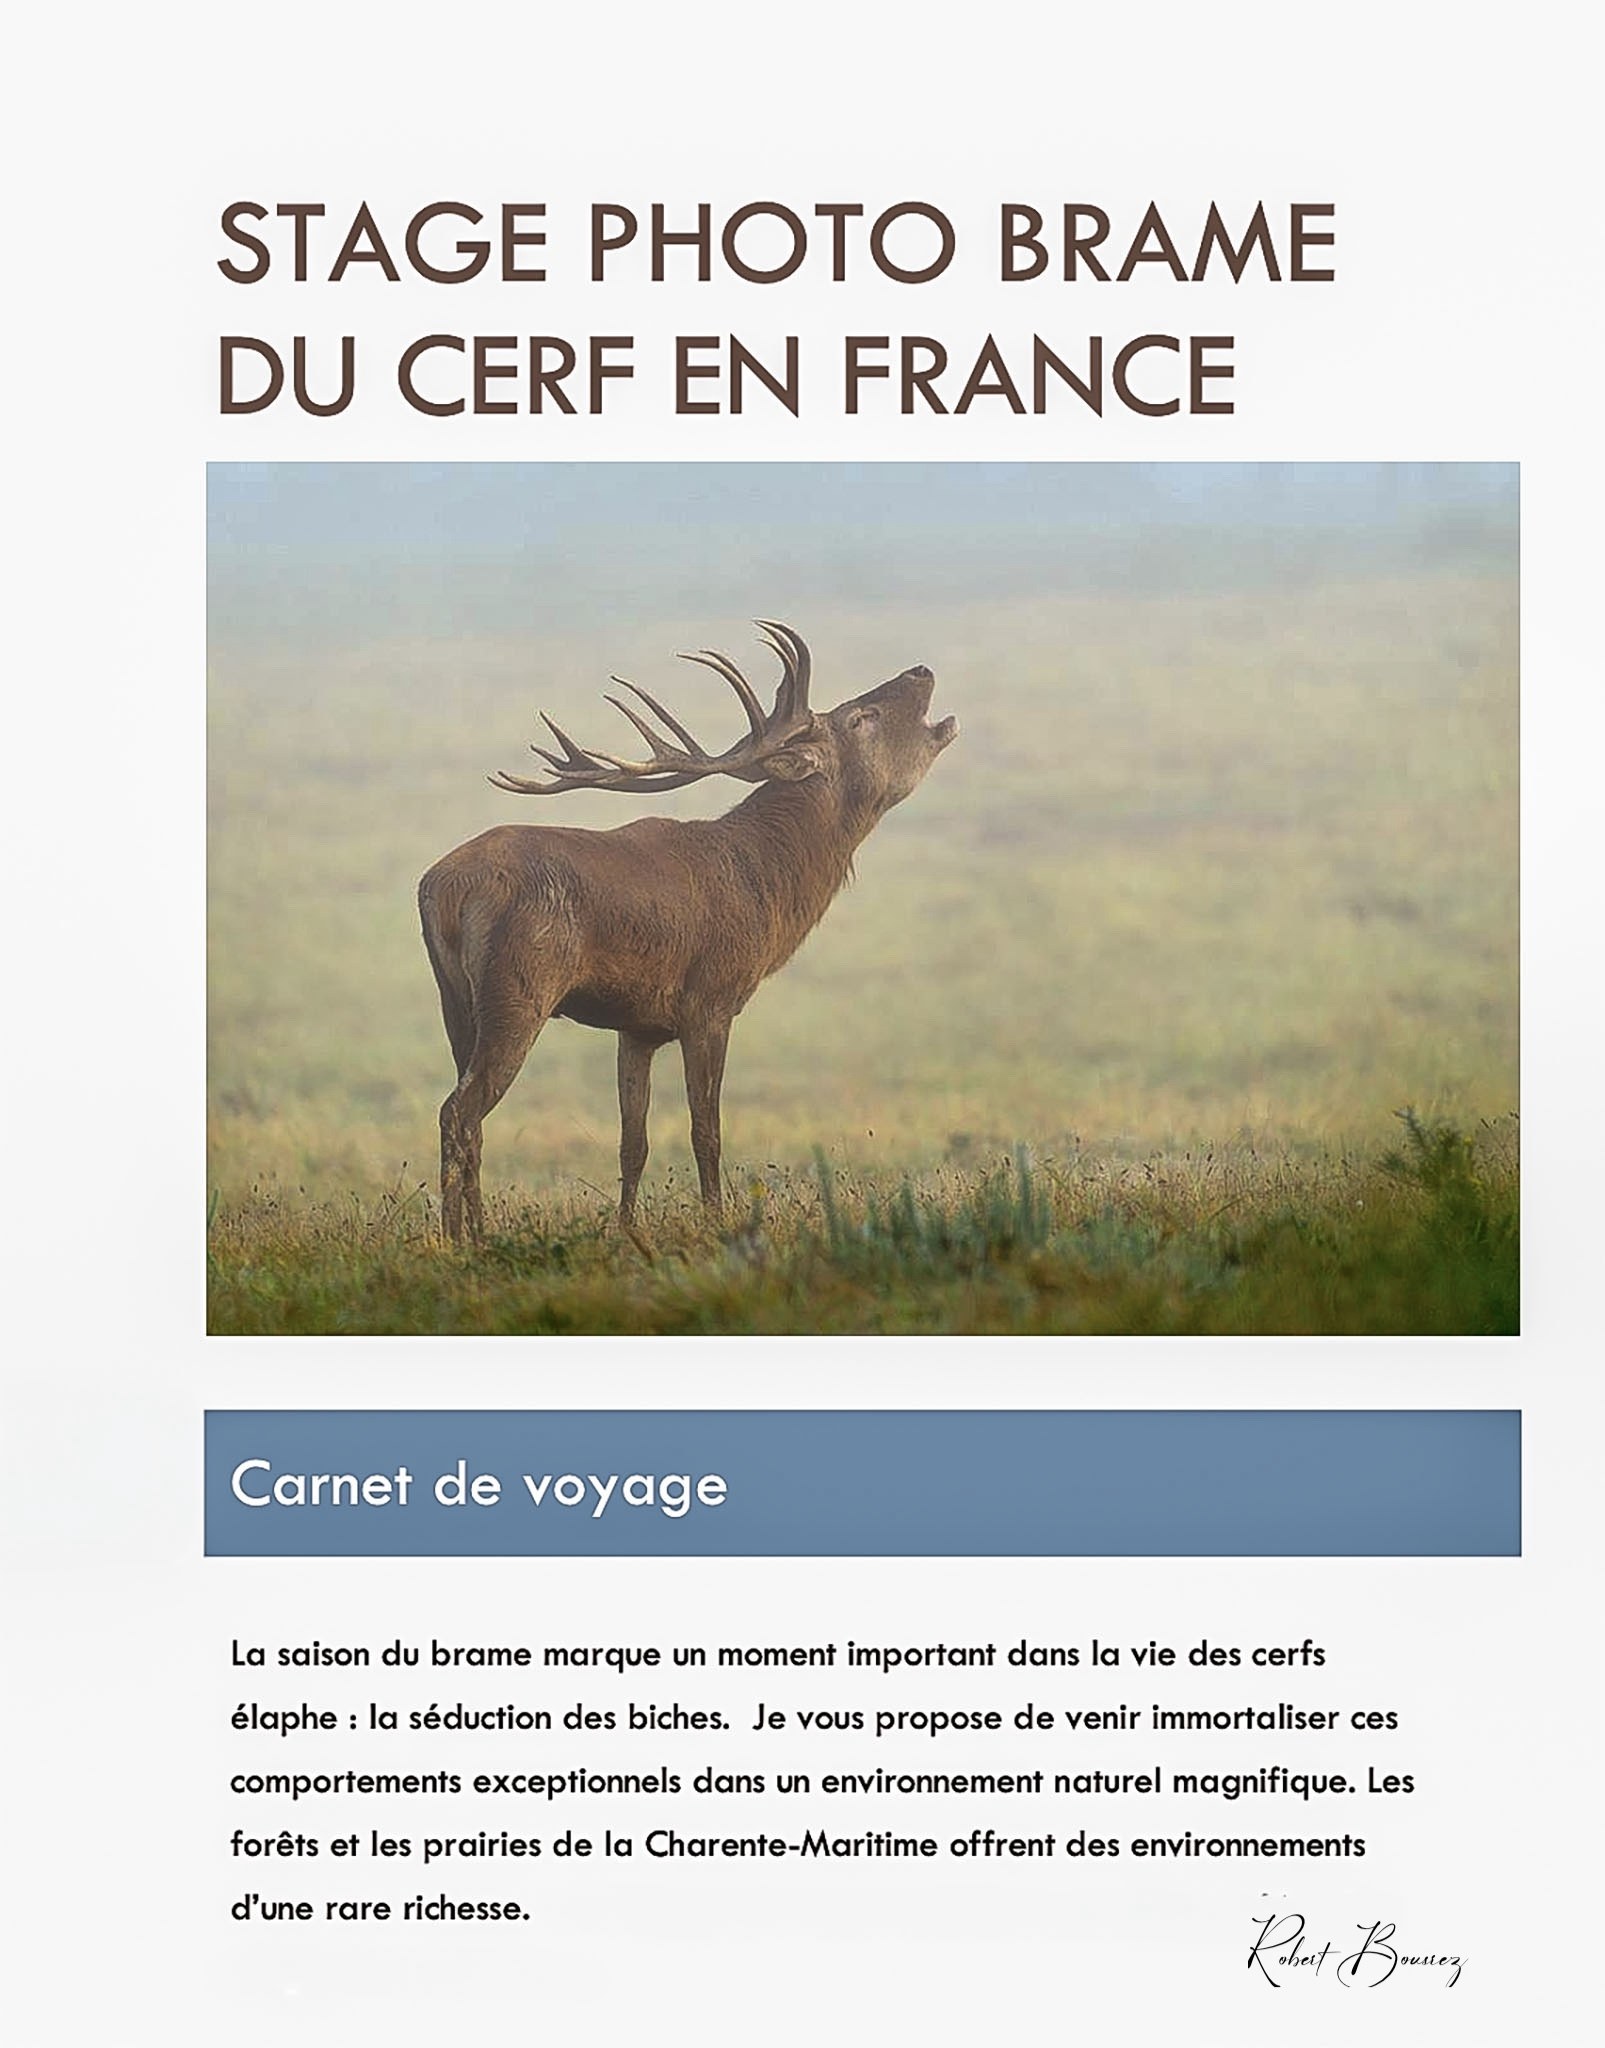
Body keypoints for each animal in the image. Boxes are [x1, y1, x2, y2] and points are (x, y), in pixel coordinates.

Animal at [419, 621, 957, 1242]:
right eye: (859, 717)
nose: (921, 670)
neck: (768, 889)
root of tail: (440, 887)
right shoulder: (710, 1002)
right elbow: (707, 1131)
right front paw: (717, 1221)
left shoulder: (637, 1025)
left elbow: (633, 1141)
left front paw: (627, 1229)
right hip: (518, 988)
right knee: (458, 1110)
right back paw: (457, 1240)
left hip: (455, 1002)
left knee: (471, 1115)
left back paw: (479, 1232)